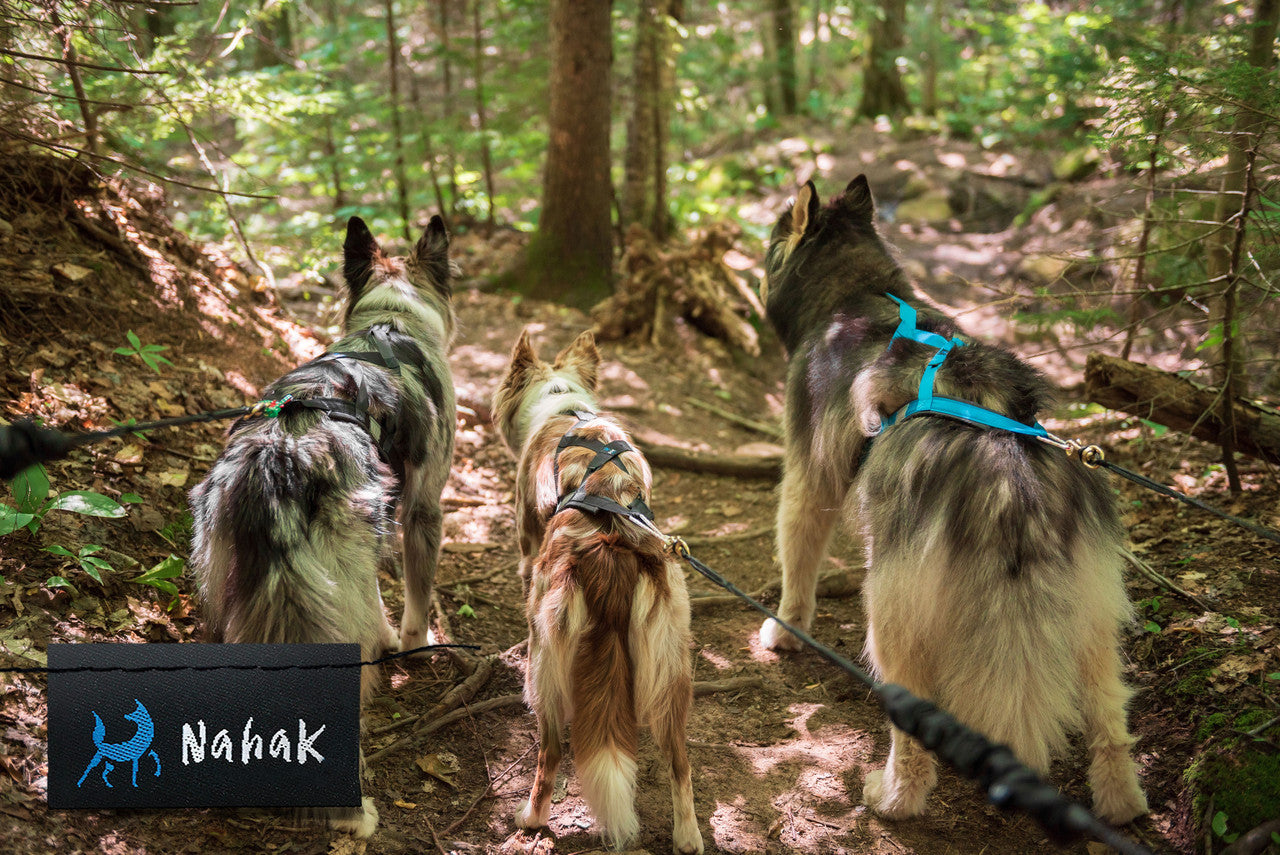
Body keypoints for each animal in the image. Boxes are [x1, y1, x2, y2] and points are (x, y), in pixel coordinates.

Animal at [185, 213, 455, 834]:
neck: (392, 320)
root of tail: (277, 457)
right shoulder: (422, 508)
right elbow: (415, 600)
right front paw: (413, 647)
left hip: (223, 575)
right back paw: (350, 810)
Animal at [491, 327, 701, 855]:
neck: (563, 406)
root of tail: (608, 544)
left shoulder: (526, 551)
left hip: (545, 667)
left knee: (549, 752)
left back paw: (530, 818)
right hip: (673, 668)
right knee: (680, 760)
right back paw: (688, 836)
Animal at [752, 176, 1146, 824]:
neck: (855, 289)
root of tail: (1008, 473)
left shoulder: (808, 477)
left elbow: (797, 559)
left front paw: (785, 631)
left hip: (890, 609)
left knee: (911, 735)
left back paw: (892, 798)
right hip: (1095, 617)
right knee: (1109, 718)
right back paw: (1122, 806)